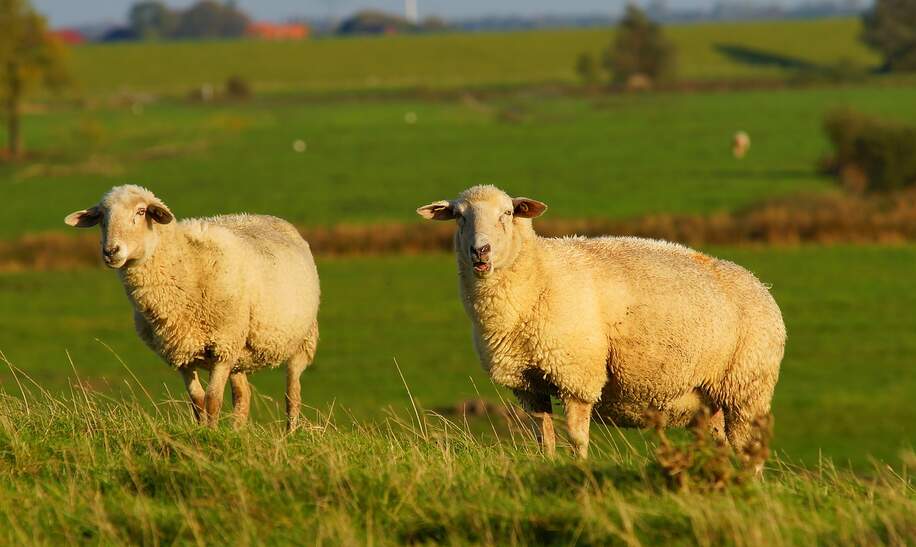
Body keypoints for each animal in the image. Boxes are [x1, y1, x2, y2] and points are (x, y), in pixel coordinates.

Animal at [65, 185, 320, 431]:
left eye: (141, 211)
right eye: (101, 217)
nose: (111, 251)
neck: (186, 263)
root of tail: (270, 217)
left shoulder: (222, 347)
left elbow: (213, 399)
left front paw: (212, 434)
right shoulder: (181, 351)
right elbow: (197, 400)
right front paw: (202, 430)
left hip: (301, 341)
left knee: (292, 395)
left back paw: (289, 434)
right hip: (239, 351)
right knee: (243, 396)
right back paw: (237, 432)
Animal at [417, 185, 785, 462]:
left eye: (507, 213)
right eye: (459, 216)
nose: (480, 251)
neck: (538, 275)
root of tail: (761, 287)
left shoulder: (577, 374)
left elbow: (577, 437)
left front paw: (579, 469)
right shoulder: (528, 384)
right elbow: (543, 437)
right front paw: (548, 465)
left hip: (748, 388)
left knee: (749, 449)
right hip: (711, 400)